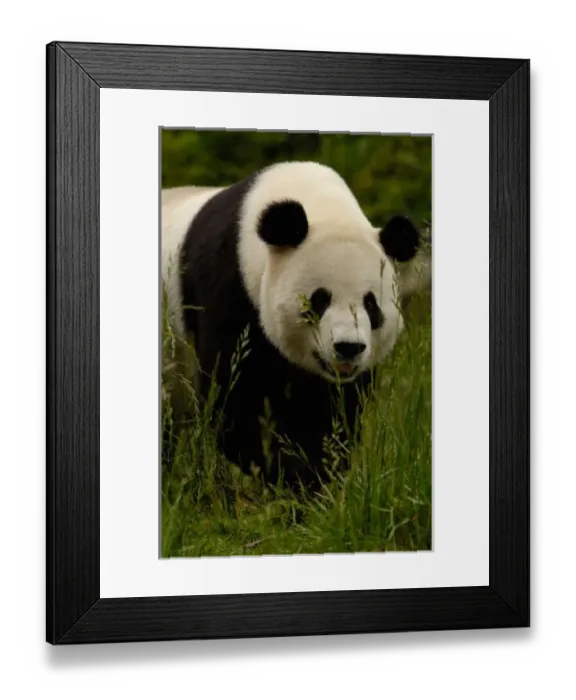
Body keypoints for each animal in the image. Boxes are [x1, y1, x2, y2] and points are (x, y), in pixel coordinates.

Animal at [161, 161, 423, 490]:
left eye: (371, 305)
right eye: (318, 300)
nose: (348, 347)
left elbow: (334, 412)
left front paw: (320, 475)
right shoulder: (228, 288)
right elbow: (233, 399)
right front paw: (288, 472)